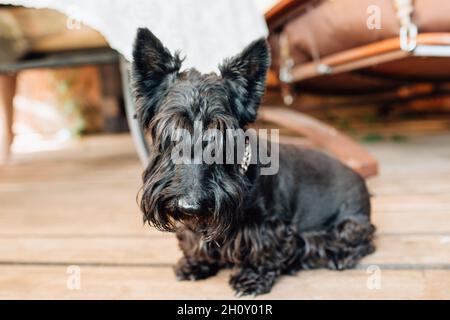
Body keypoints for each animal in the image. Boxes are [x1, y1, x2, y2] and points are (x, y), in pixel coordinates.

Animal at [132, 28, 374, 296]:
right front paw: (195, 264)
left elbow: (263, 252)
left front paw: (251, 279)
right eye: (171, 131)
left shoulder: (268, 228)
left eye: (222, 133)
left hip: (349, 223)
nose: (190, 206)